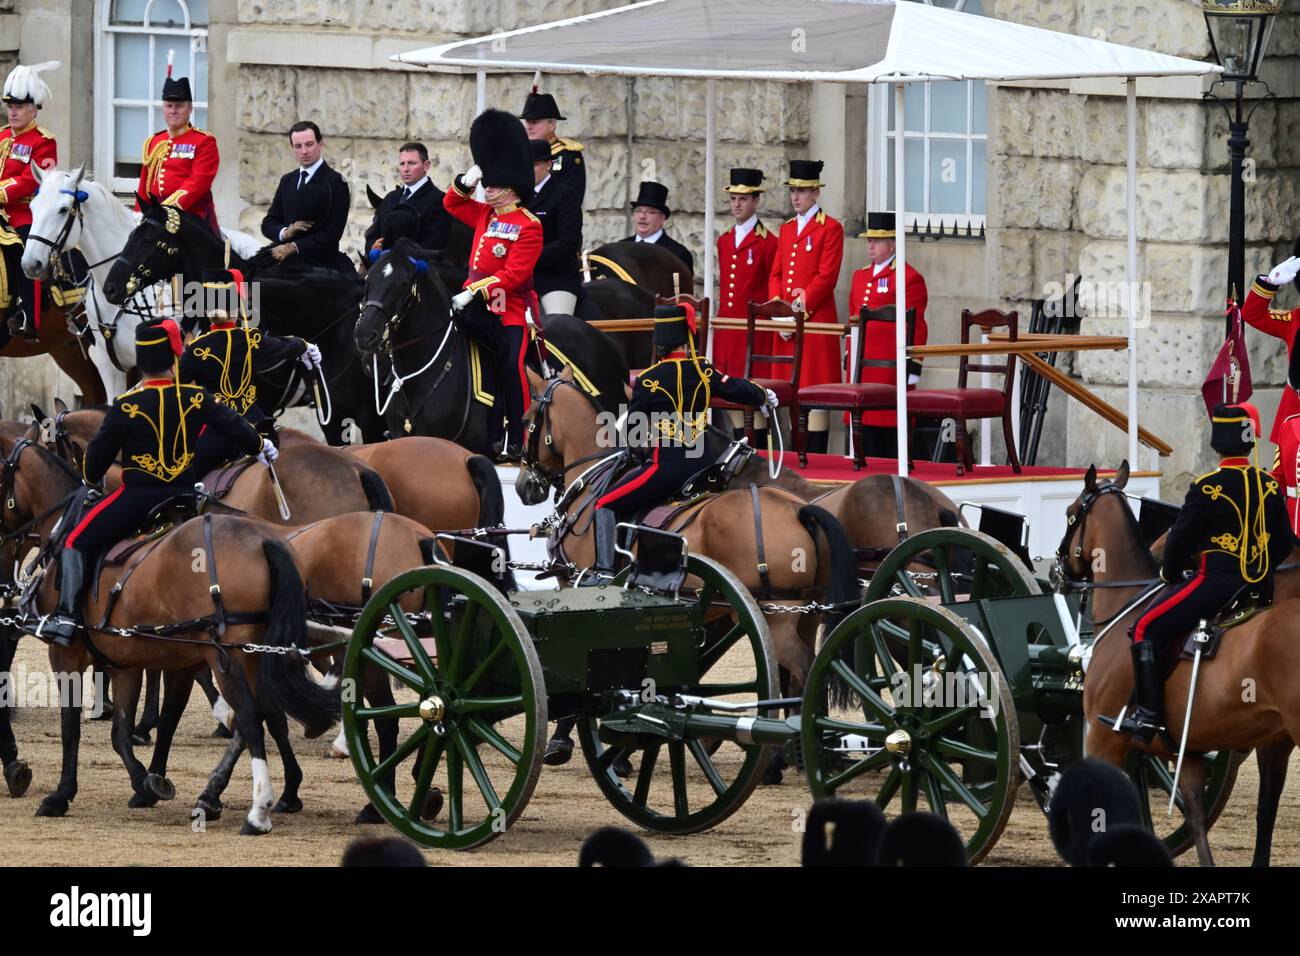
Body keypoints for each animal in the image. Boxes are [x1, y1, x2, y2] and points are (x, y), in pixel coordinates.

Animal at [1, 429, 335, 832]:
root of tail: (262, 538)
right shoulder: (127, 663)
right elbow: (127, 731)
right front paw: (147, 783)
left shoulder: (66, 653)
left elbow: (72, 727)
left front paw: (61, 795)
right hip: (256, 654)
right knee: (266, 714)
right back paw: (255, 792)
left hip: (229, 657)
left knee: (252, 717)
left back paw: (254, 809)